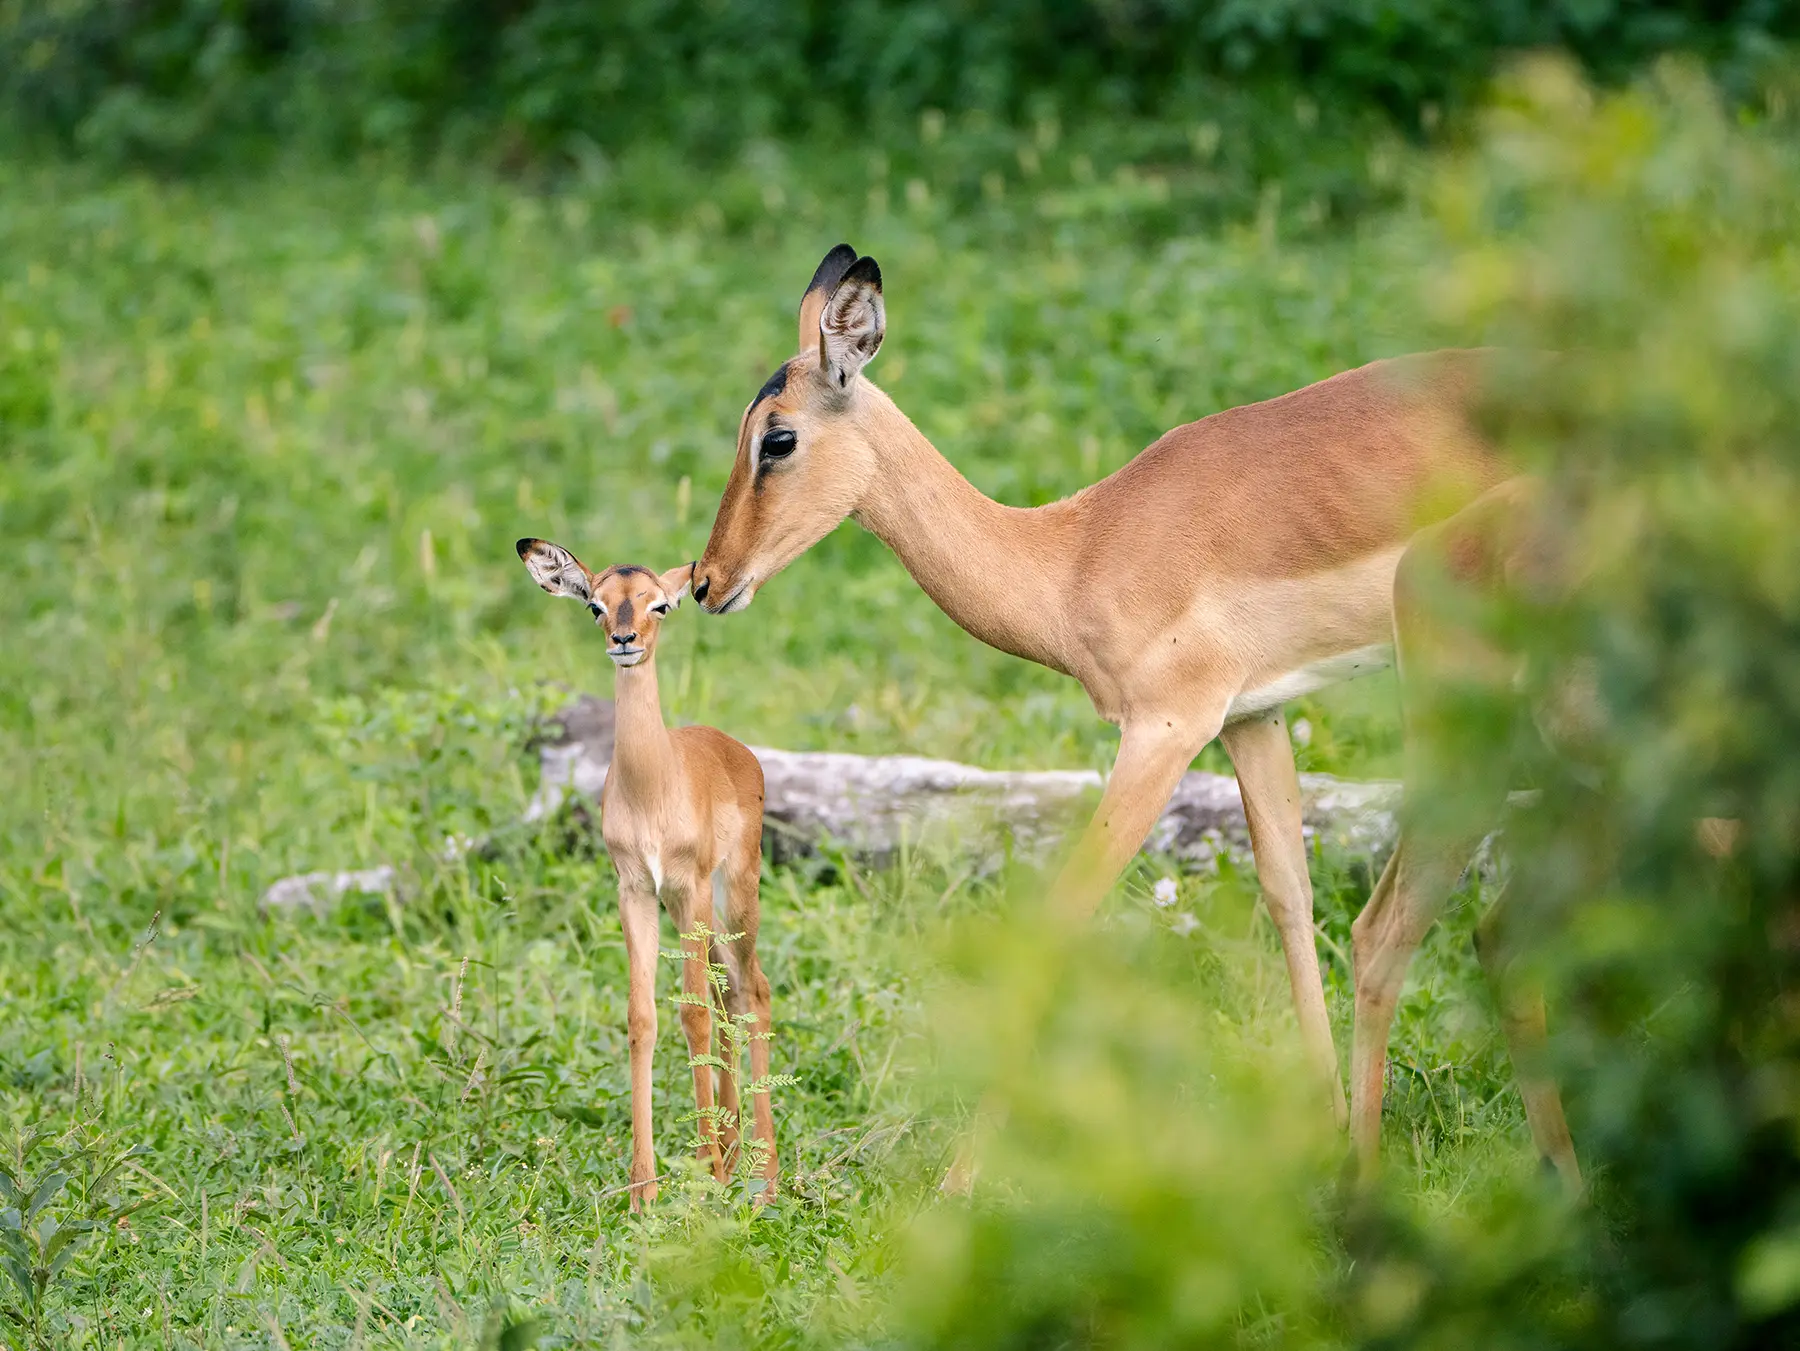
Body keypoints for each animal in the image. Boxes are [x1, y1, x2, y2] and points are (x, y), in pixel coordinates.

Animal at [516, 538, 777, 1209]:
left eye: (660, 603)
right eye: (595, 605)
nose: (624, 639)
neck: (654, 783)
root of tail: (737, 750)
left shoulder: (686, 888)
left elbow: (693, 1016)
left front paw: (706, 1176)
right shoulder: (635, 890)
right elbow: (644, 1018)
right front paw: (644, 1190)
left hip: (733, 895)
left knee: (752, 991)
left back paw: (763, 1177)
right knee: (726, 989)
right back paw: (733, 1155)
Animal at [692, 244, 1506, 1121]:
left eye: (777, 438)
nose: (707, 581)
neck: (1076, 553)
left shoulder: (1164, 731)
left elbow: (1063, 917)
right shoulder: (1253, 715)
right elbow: (1290, 893)